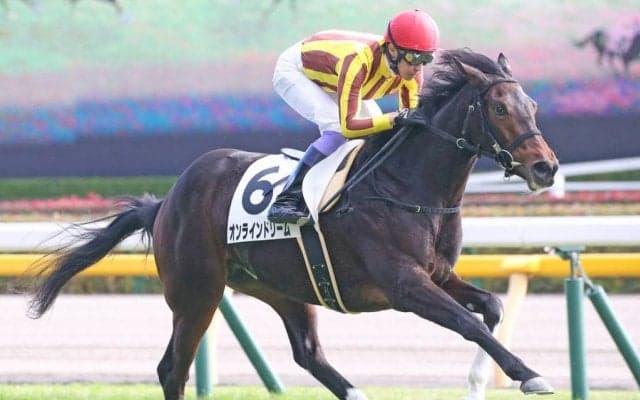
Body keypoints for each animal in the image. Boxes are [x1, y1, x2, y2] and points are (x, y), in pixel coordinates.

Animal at [28, 48, 558, 400]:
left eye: (532, 106)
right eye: (499, 107)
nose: (546, 168)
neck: (409, 187)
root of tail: (167, 201)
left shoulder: (439, 274)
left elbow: (491, 307)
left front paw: (484, 380)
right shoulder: (405, 286)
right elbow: (469, 323)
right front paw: (530, 374)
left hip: (282, 285)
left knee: (307, 353)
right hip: (196, 290)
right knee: (172, 368)